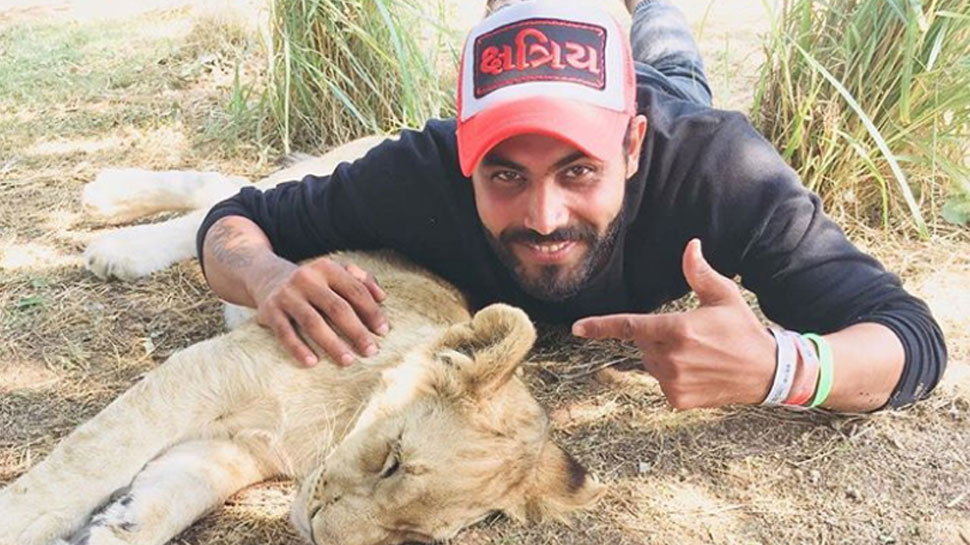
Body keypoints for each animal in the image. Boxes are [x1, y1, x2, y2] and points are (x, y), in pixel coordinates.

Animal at [0, 250, 600, 544]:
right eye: (392, 462)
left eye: (412, 535)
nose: (317, 534)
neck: (328, 428)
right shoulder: (210, 370)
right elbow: (89, 459)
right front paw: (18, 521)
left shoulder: (234, 449)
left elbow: (168, 496)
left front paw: (112, 528)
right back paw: (113, 252)